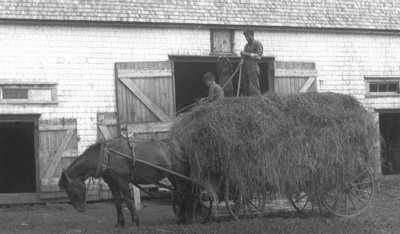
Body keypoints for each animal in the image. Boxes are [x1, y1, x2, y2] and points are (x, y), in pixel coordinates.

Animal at [58, 136, 198, 228]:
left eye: (70, 188)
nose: (80, 209)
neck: (106, 156)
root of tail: (182, 146)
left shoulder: (122, 181)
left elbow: (129, 201)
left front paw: (135, 221)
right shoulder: (112, 183)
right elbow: (117, 202)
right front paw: (120, 222)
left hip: (179, 177)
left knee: (181, 197)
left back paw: (177, 219)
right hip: (173, 177)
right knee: (179, 195)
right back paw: (182, 218)